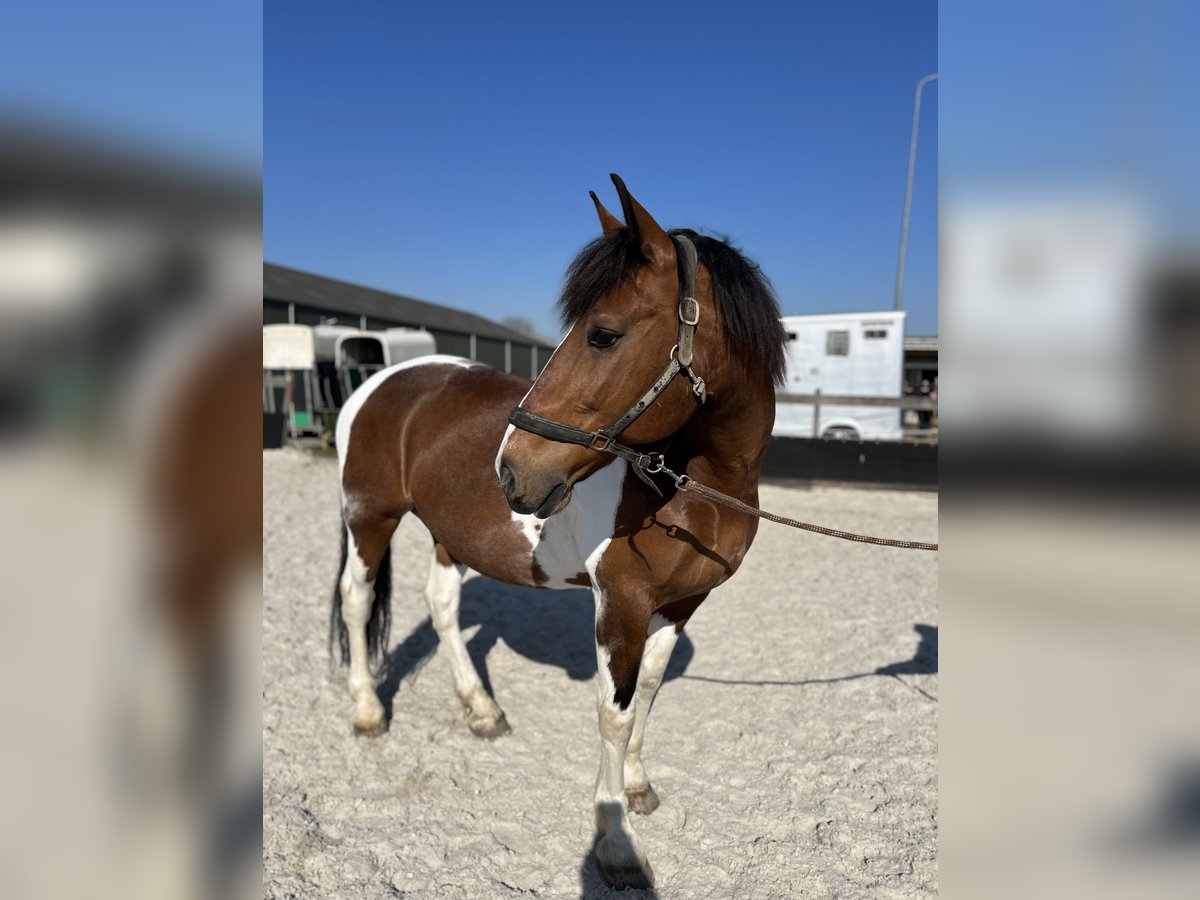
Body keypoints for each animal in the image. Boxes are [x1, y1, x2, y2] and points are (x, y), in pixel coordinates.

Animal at [331, 174, 787, 888]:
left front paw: (637, 789)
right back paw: (368, 712)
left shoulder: (682, 603)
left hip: (448, 534)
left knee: (441, 606)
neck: (691, 485)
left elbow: (646, 696)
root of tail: (379, 381)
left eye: (602, 335)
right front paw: (616, 843)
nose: (511, 470)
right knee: (356, 601)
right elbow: (613, 714)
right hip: (369, 518)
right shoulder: (620, 604)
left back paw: (481, 710)